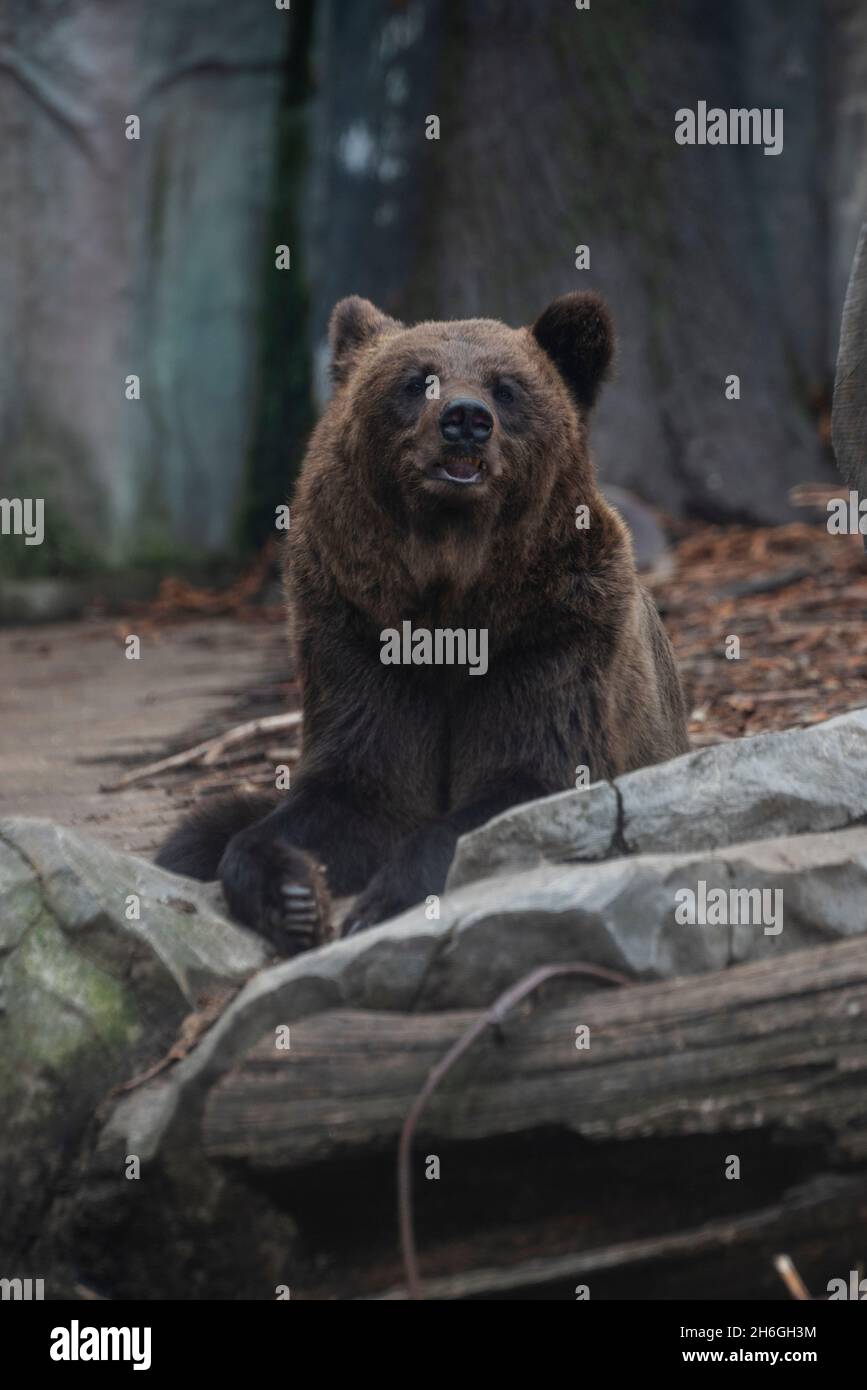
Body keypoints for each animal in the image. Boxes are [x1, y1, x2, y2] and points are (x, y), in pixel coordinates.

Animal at [154, 287, 683, 950]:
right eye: (417, 380)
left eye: (506, 387)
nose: (465, 419)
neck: (452, 593)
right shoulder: (357, 632)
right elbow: (356, 788)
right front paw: (293, 893)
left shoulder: (555, 633)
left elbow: (529, 777)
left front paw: (382, 899)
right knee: (196, 834)